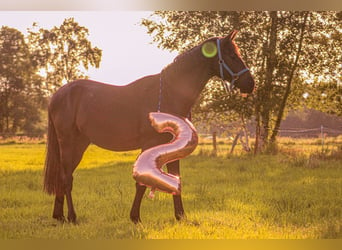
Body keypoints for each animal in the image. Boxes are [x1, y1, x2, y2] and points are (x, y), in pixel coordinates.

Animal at [43, 30, 254, 224]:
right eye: (232, 55)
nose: (250, 84)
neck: (168, 93)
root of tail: (57, 95)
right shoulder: (149, 145)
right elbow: (142, 183)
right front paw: (135, 217)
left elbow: (176, 179)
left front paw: (180, 216)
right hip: (69, 143)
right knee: (66, 178)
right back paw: (72, 217)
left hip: (79, 144)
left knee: (63, 177)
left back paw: (59, 216)